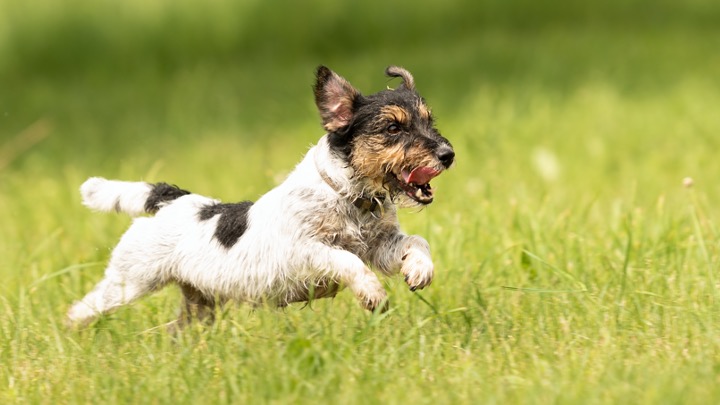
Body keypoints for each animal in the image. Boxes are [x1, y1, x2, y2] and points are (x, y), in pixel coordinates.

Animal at [66, 64, 450, 328]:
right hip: (129, 280)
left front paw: (420, 270)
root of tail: (171, 199)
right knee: (82, 308)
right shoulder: (306, 250)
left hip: (199, 302)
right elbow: (345, 259)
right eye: (393, 127)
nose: (448, 154)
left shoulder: (380, 246)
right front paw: (372, 294)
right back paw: (74, 335)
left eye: (430, 122)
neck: (348, 196)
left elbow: (416, 241)